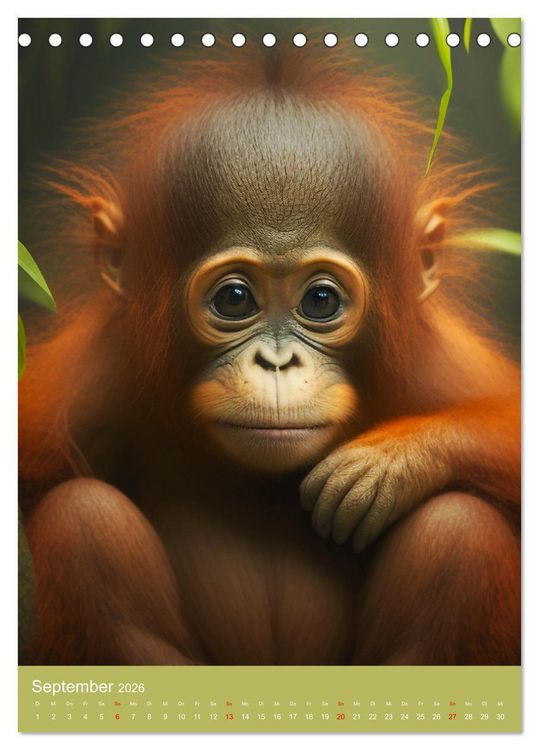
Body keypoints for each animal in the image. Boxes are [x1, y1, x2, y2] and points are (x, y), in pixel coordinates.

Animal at [19, 48, 520, 666]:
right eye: (235, 299)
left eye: (321, 300)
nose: (277, 364)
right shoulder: (92, 376)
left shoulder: (437, 362)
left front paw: (391, 460)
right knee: (83, 519)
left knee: (457, 526)